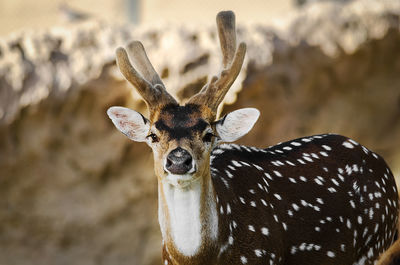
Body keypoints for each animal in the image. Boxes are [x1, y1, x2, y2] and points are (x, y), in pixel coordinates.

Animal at [108, 10, 398, 264]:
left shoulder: (262, 255)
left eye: (208, 134)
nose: (179, 160)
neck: (198, 257)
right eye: (153, 135)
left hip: (375, 243)